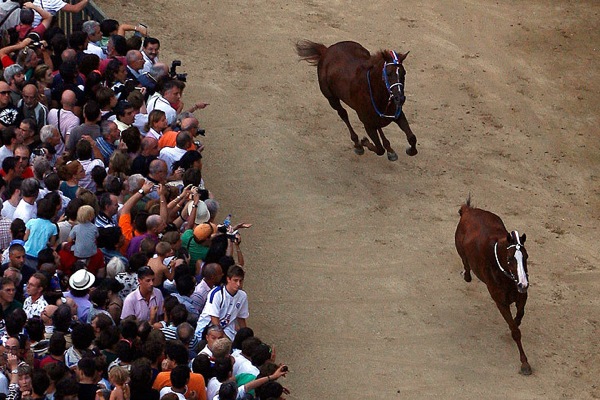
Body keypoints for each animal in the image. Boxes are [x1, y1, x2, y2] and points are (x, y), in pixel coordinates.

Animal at [452, 198, 532, 376]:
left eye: (526, 256)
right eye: (510, 259)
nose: (523, 284)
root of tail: (468, 210)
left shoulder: (522, 296)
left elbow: (520, 315)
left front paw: (515, 322)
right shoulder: (501, 302)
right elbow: (515, 331)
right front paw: (525, 364)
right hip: (460, 250)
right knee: (466, 265)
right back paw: (465, 274)